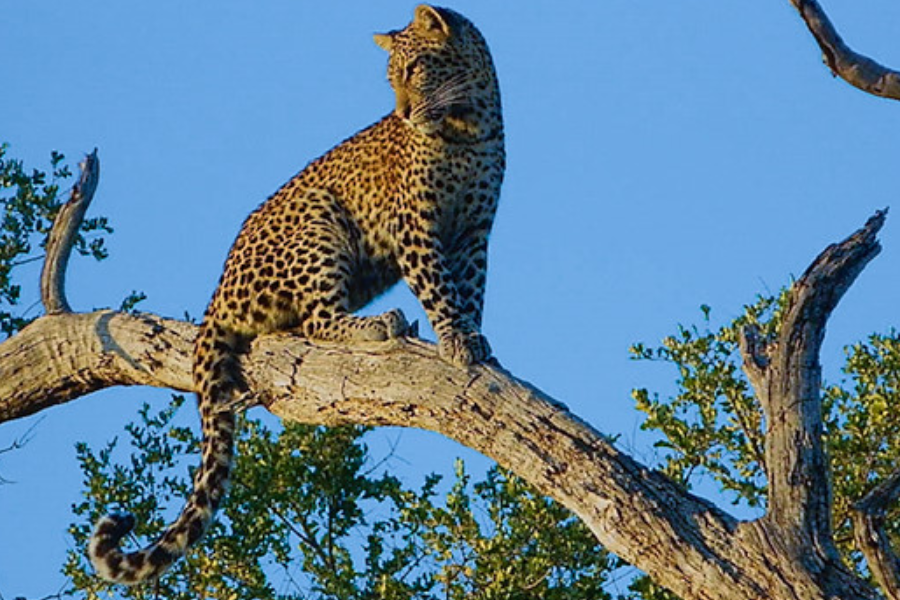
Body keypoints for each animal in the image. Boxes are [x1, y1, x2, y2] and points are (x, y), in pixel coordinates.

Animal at [89, 4, 506, 584]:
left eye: (416, 69)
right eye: (392, 78)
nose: (401, 114)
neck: (468, 125)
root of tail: (215, 299)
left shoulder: (473, 232)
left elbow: (470, 291)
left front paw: (475, 336)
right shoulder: (416, 227)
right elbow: (440, 288)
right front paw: (456, 340)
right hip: (318, 216)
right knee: (317, 321)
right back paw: (378, 325)